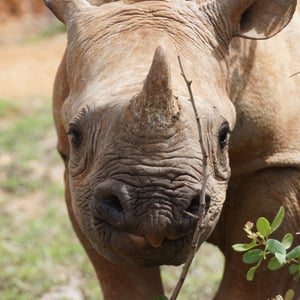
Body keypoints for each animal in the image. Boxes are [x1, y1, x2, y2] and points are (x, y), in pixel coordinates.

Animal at [45, 0, 300, 298]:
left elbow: (253, 278)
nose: (155, 211)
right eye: (75, 135)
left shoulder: (275, 159)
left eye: (224, 135)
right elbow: (125, 281)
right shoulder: (80, 184)